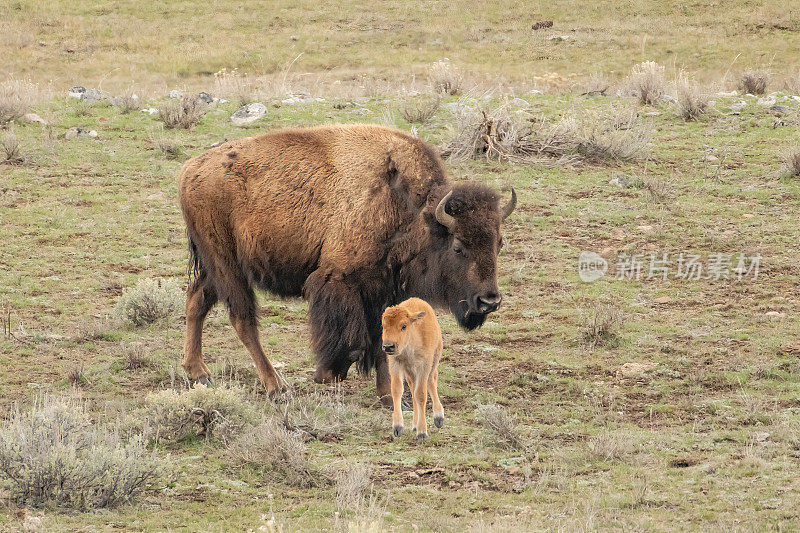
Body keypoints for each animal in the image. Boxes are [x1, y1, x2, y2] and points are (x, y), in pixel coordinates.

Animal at [177, 123, 512, 400]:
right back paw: (276, 387)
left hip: (214, 265)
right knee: (242, 318)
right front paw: (327, 374)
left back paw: (199, 373)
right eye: (458, 247)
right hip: (227, 262)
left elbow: (382, 342)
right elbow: (352, 343)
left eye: (499, 243)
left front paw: (389, 396)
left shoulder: (383, 290)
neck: (408, 209)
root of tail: (190, 169)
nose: (489, 301)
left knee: (197, 299)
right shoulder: (339, 281)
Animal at [382, 298, 444, 438]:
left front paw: (422, 432)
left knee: (431, 381)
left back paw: (438, 418)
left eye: (404, 326)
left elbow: (421, 394)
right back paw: (415, 424)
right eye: (383, 325)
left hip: (434, 359)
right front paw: (398, 427)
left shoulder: (424, 366)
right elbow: (397, 390)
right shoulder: (396, 364)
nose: (388, 346)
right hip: (410, 372)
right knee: (413, 388)